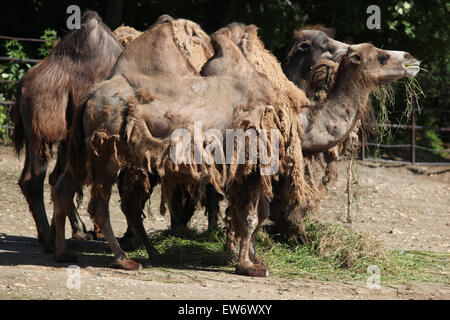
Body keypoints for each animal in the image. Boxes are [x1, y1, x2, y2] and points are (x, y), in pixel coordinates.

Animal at [10, 11, 123, 242]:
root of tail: (23, 85)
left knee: (50, 178)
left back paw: (68, 231)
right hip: (42, 126)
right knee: (35, 179)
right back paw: (49, 237)